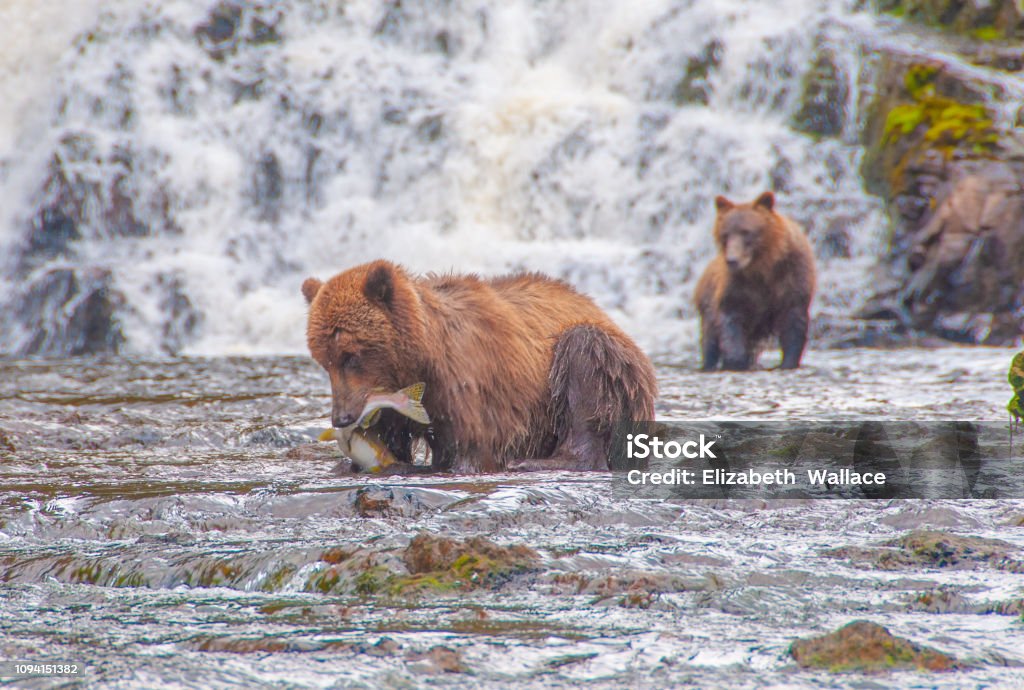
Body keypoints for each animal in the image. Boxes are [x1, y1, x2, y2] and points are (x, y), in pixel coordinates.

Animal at [303, 259, 655, 472]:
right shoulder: (391, 405)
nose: (342, 417)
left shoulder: (468, 385)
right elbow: (391, 439)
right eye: (324, 360)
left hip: (606, 365)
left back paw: (546, 462)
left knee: (585, 357)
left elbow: (470, 447)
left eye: (351, 355)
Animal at [696, 188, 815, 370]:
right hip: (707, 305)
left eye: (746, 232)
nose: (732, 260)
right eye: (725, 234)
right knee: (710, 340)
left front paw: (788, 362)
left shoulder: (792, 277)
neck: (762, 266)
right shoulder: (737, 288)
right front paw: (735, 361)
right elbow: (730, 323)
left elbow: (793, 322)